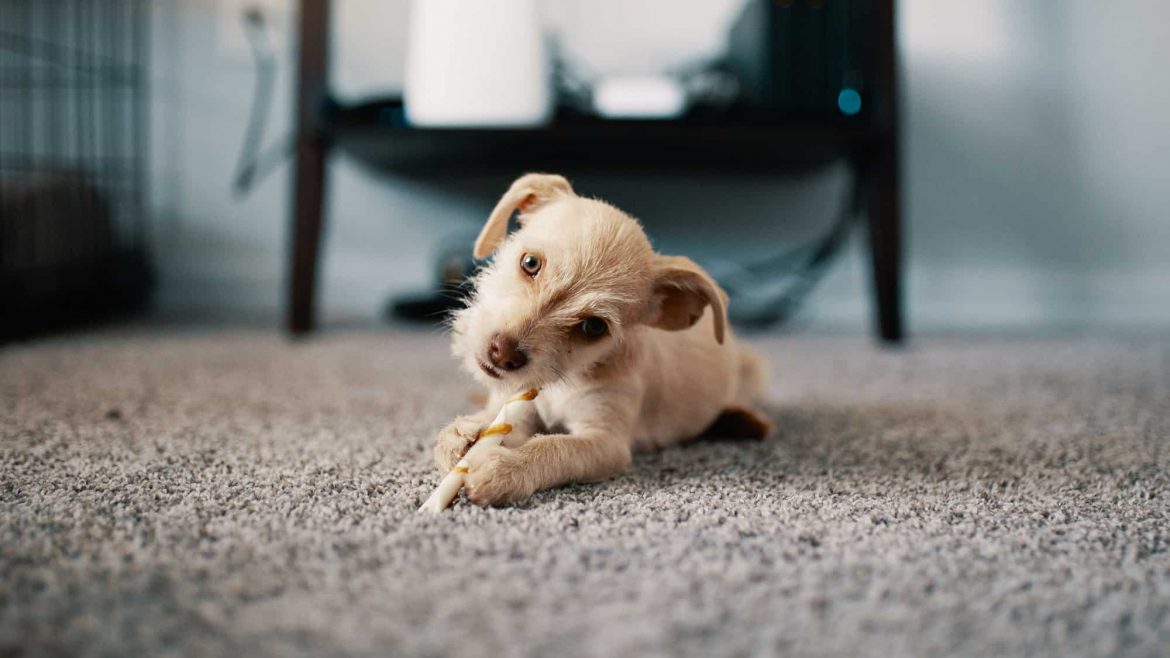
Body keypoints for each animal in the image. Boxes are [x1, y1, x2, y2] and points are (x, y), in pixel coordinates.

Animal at [435, 173, 772, 501]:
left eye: (594, 327)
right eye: (530, 263)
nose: (502, 354)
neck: (562, 382)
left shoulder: (605, 441)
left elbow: (555, 447)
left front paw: (505, 466)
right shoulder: (519, 405)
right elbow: (500, 421)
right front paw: (465, 433)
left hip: (753, 368)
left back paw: (742, 420)